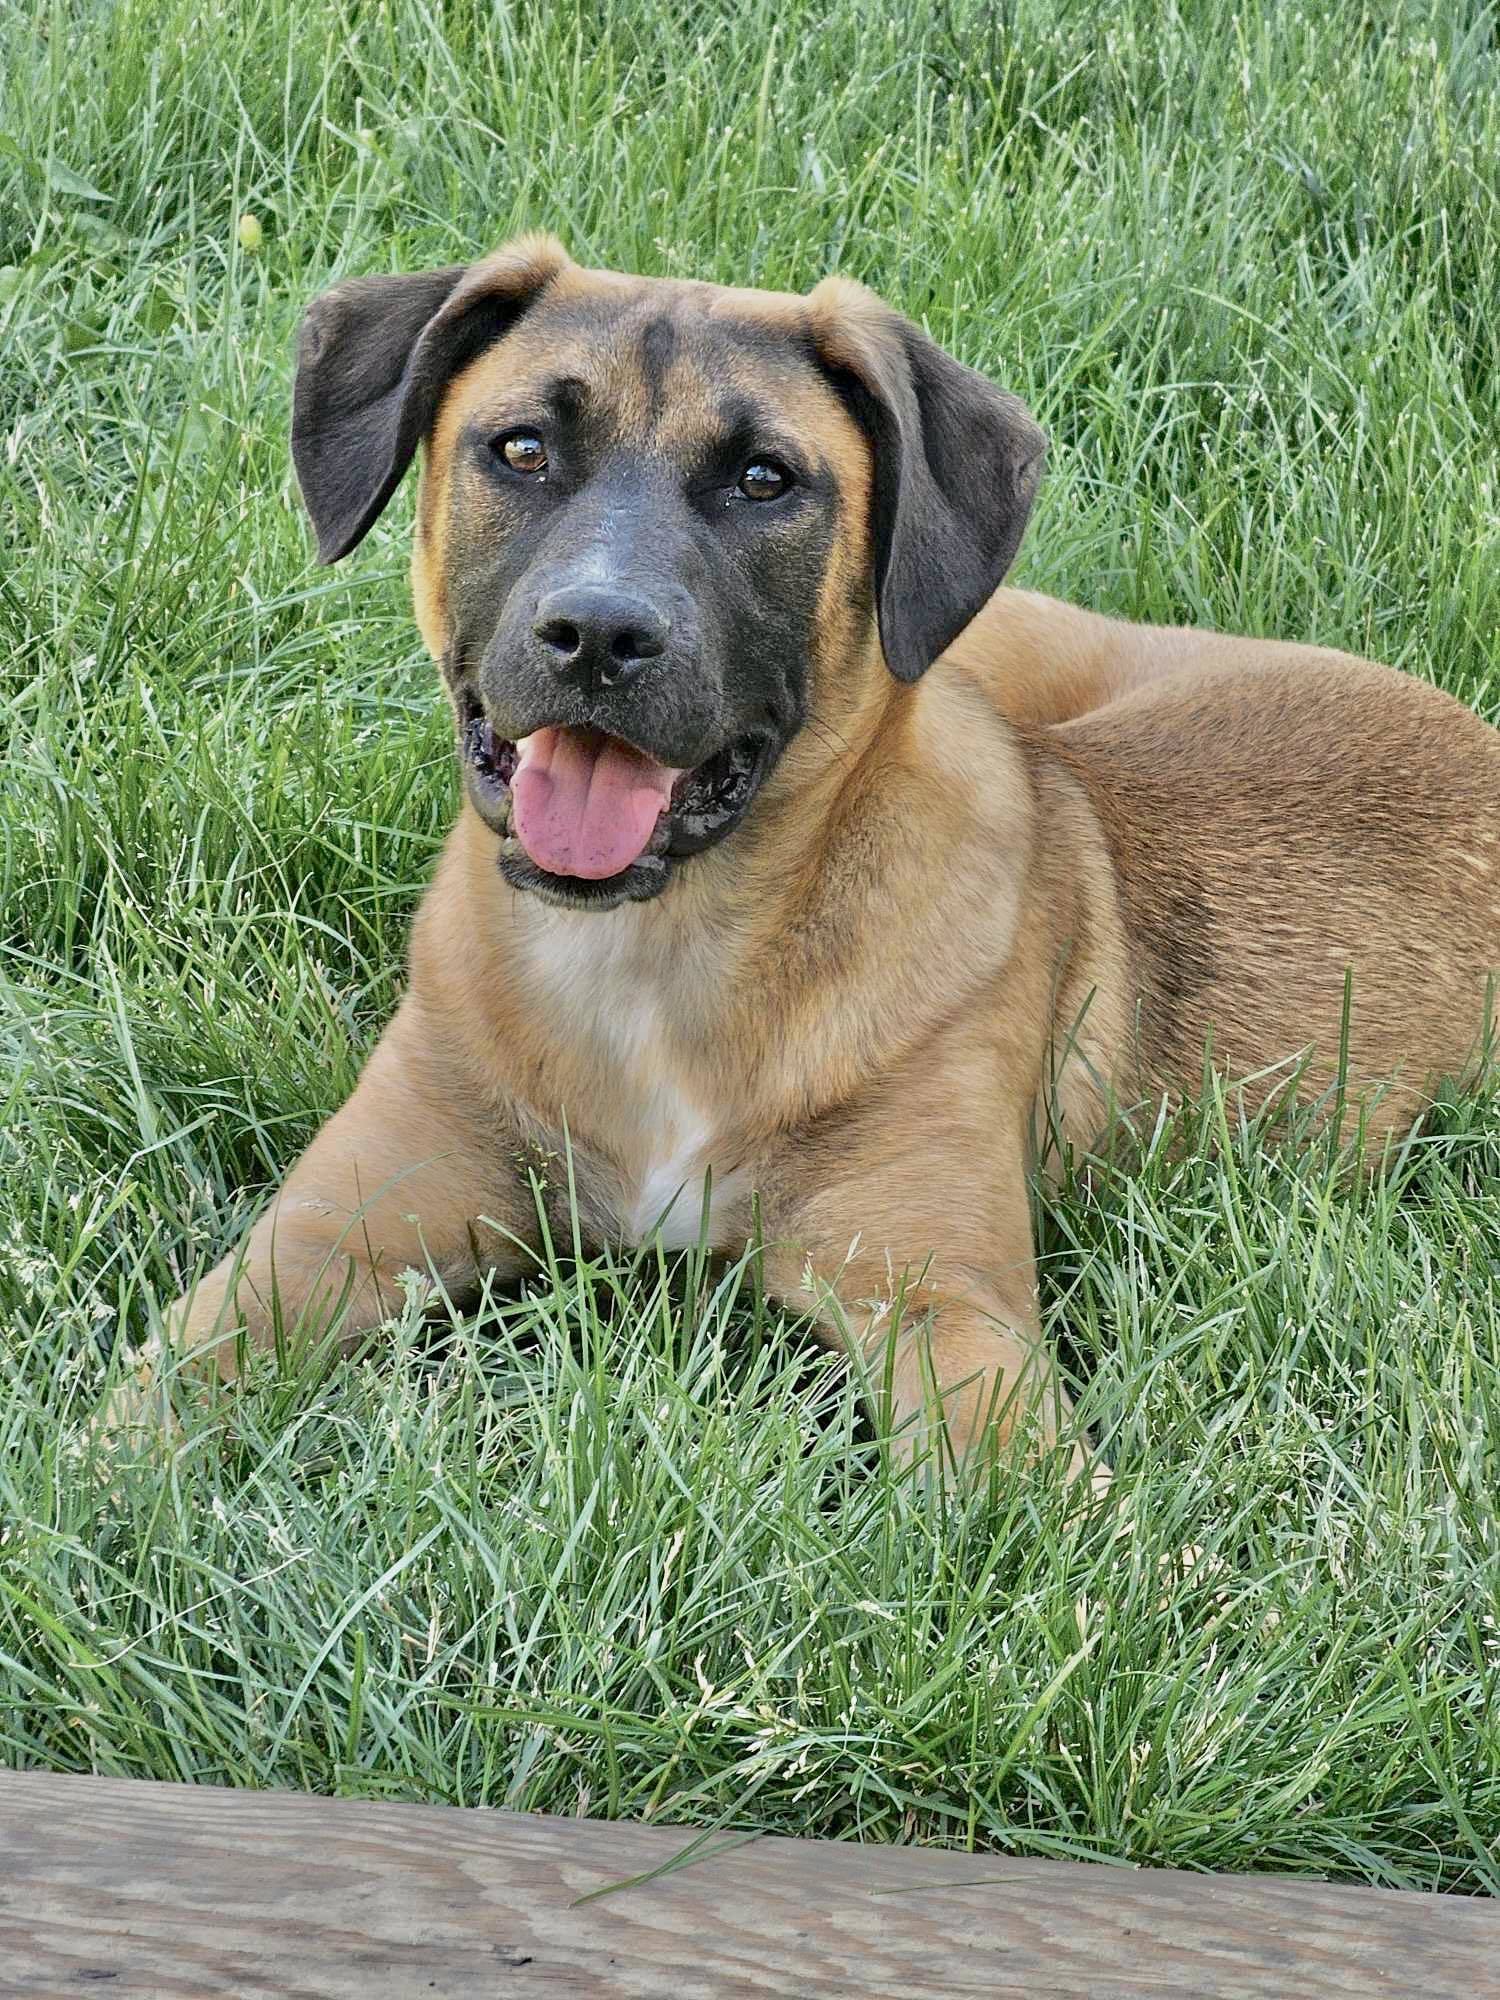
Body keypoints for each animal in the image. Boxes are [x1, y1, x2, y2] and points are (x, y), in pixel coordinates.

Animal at [114, 242, 1500, 1480]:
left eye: (764, 479)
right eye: (521, 448)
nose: (598, 636)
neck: (656, 951)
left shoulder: (947, 1309)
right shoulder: (321, 1238)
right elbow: (139, 1412)